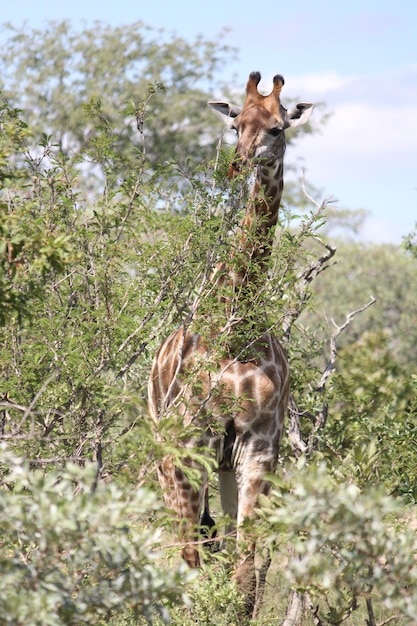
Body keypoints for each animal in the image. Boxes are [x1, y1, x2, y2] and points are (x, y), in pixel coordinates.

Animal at [148, 70, 310, 612]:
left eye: (278, 127)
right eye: (236, 123)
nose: (237, 164)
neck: (234, 331)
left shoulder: (258, 448)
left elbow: (244, 574)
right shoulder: (188, 444)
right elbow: (191, 563)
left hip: (221, 464)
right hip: (167, 451)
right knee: (183, 544)